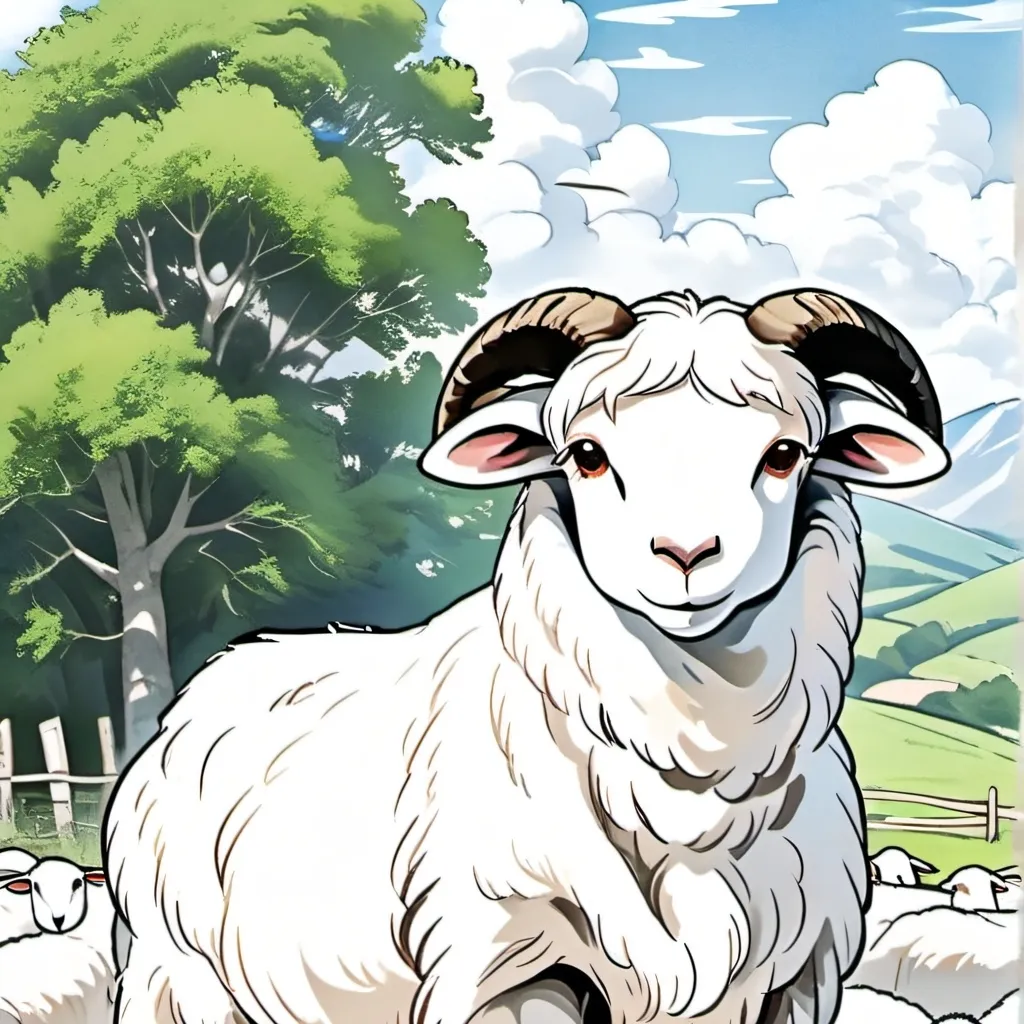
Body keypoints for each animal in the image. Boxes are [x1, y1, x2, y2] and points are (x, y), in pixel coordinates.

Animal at [102, 285, 952, 1024]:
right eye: (586, 455)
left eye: (785, 454)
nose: (685, 556)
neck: (689, 776)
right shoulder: (511, 966)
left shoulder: (791, 987)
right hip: (178, 976)